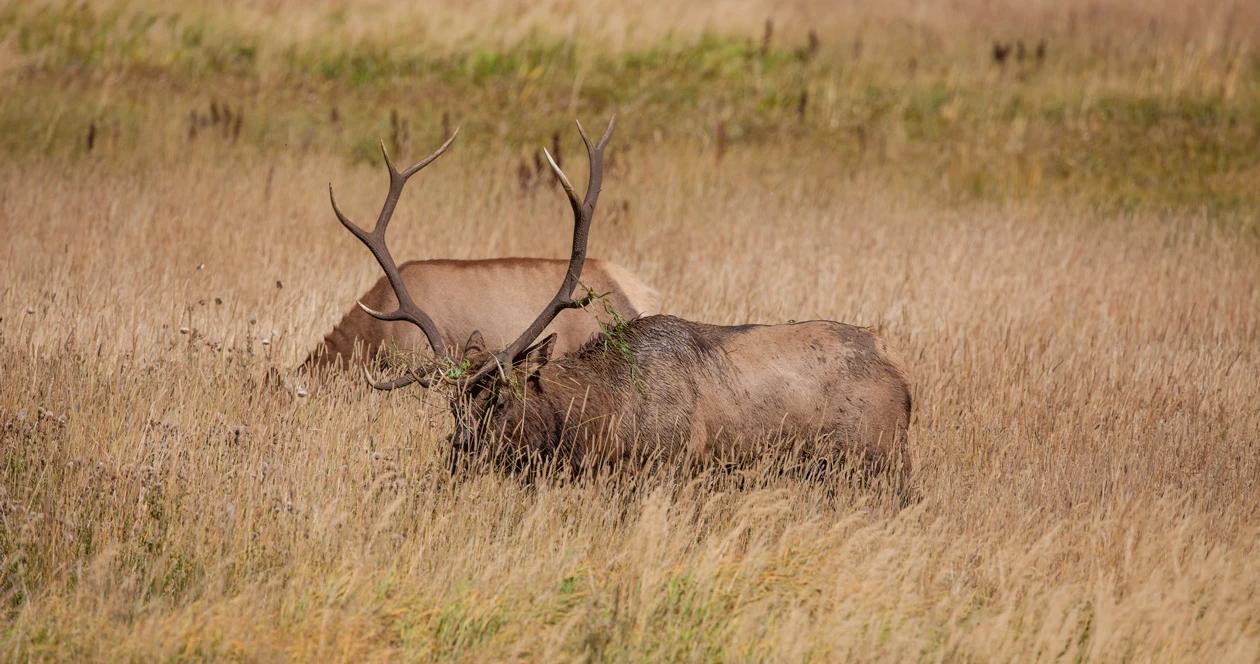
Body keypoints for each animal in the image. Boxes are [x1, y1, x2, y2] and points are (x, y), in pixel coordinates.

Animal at [330, 115, 912, 488]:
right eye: (452, 405)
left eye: (498, 398)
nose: (454, 458)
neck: (596, 423)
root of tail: (904, 379)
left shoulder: (675, 471)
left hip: (876, 466)